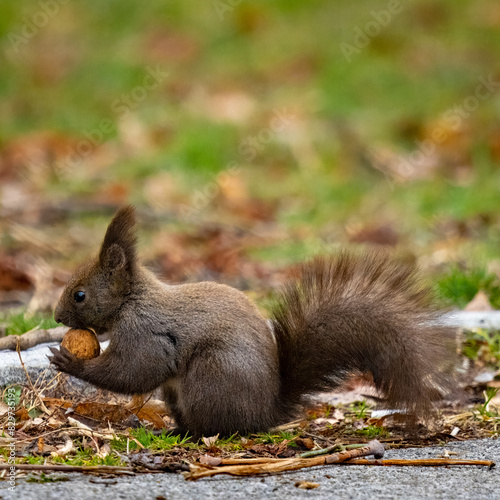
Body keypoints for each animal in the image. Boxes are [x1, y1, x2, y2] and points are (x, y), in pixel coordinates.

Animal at [48, 205, 456, 436]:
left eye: (80, 294)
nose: (56, 316)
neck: (132, 301)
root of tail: (266, 412)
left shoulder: (146, 334)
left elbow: (133, 372)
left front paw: (69, 362)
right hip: (180, 392)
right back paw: (174, 431)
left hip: (212, 375)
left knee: (221, 427)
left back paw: (191, 435)